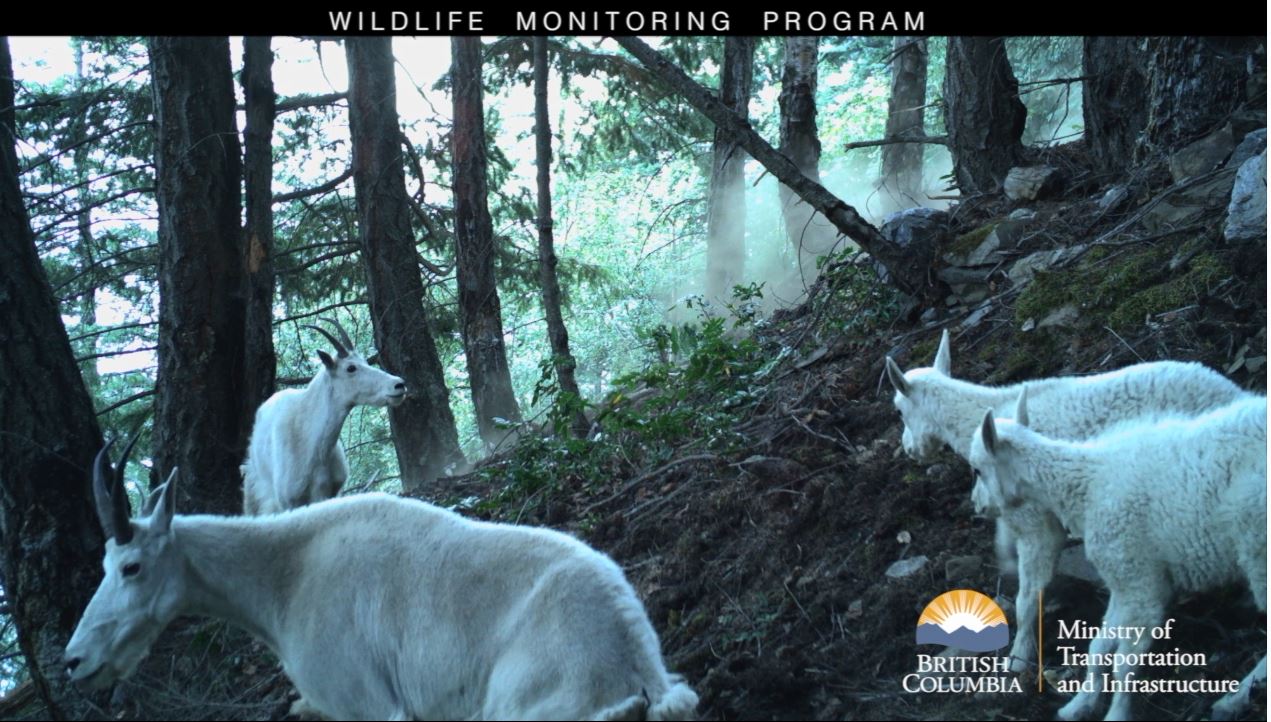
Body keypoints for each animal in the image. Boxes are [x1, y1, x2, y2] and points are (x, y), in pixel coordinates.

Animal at [64, 442, 701, 716]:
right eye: (102, 566)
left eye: (132, 566)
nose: (74, 661)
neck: (285, 577)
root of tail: (636, 662)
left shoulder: (366, 704)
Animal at [889, 330, 1245, 676]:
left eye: (899, 410)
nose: (910, 450)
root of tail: (1235, 393)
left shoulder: (1036, 522)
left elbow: (1028, 598)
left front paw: (1018, 657)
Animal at [971, 388, 1260, 722]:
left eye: (977, 468)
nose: (976, 506)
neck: (1087, 486)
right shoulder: (1123, 579)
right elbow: (1097, 647)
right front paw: (1079, 705)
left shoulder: (1139, 580)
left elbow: (1124, 663)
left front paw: (1117, 713)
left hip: (1258, 546)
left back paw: (1235, 698)